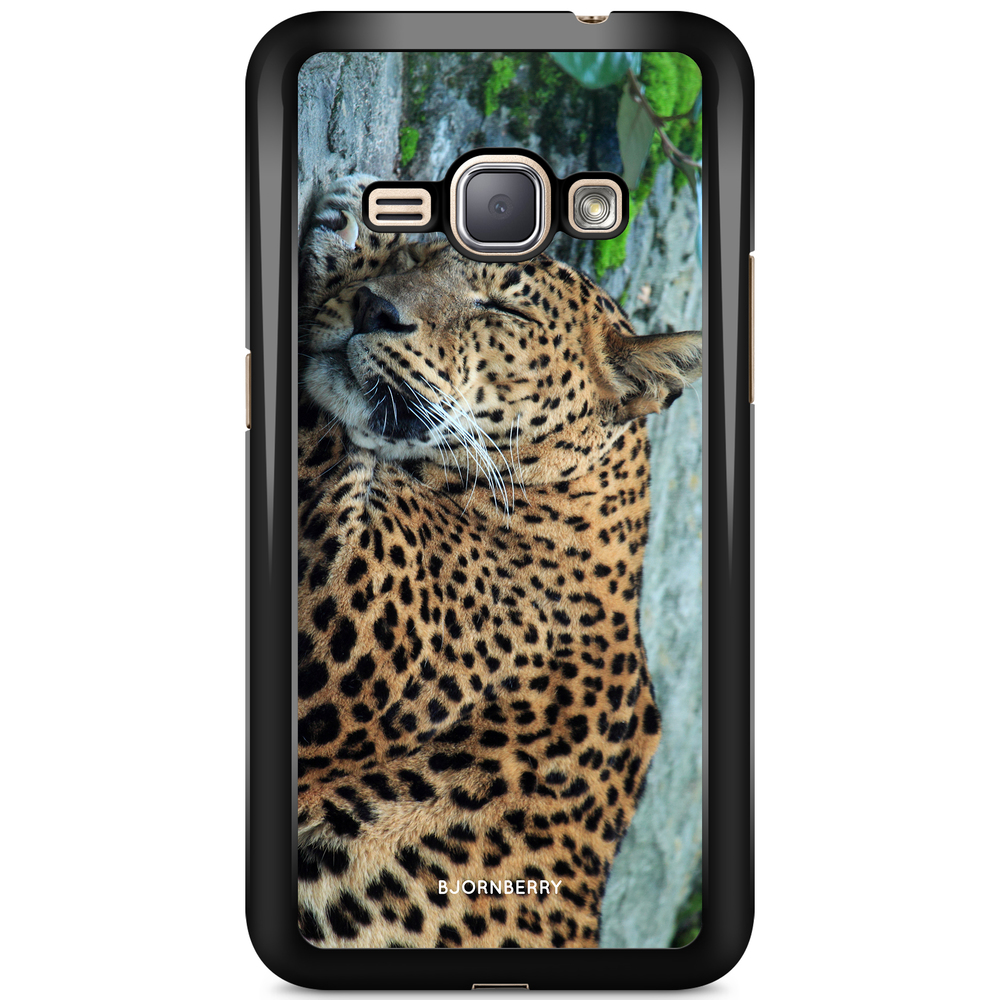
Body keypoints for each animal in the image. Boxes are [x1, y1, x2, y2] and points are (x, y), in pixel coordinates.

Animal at [296, 175, 702, 949]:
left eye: (504, 309)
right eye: (425, 257)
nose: (374, 308)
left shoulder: (346, 609)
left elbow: (318, 432)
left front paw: (347, 234)